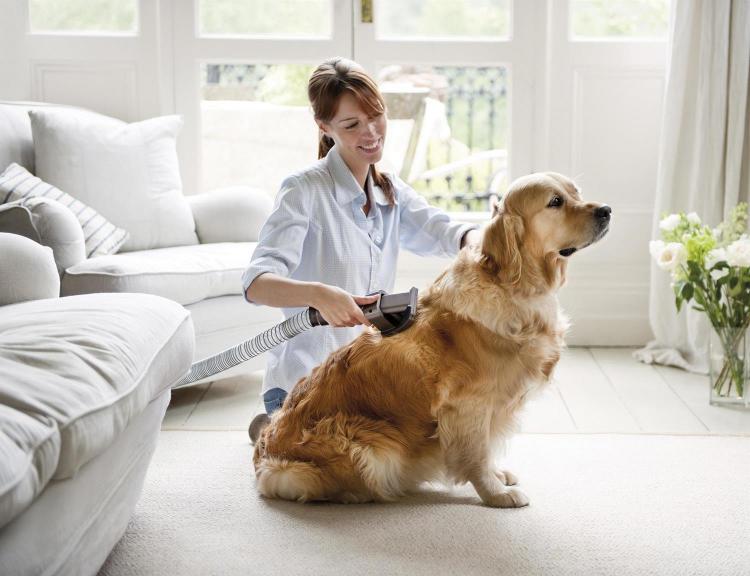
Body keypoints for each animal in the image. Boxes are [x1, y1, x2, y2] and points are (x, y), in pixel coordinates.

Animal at [253, 172, 612, 508]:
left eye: (576, 193)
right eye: (555, 202)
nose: (607, 210)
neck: (516, 288)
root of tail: (263, 455)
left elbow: (486, 448)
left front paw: (497, 476)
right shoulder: (468, 405)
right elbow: (477, 454)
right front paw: (495, 493)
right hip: (368, 444)